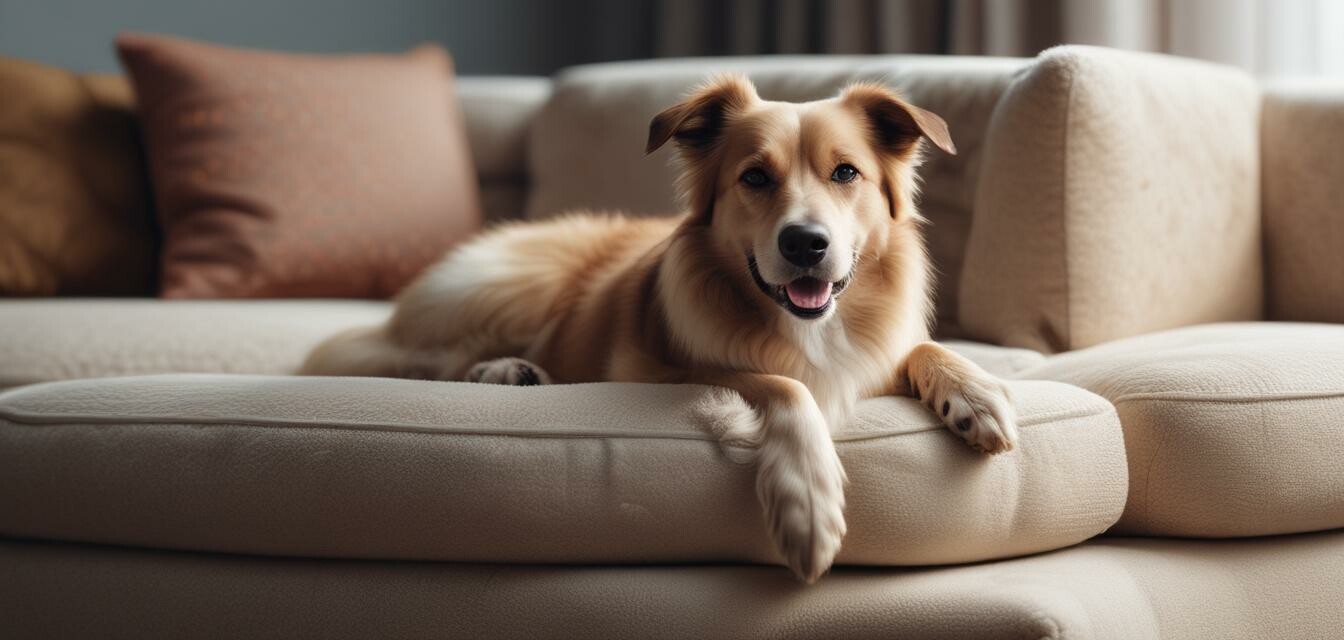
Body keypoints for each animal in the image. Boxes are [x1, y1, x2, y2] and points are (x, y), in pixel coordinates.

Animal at [302, 74, 1016, 586]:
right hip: (512, 289)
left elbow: (923, 345)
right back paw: (503, 369)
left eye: (847, 173)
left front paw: (976, 396)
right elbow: (784, 385)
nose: (806, 244)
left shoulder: (871, 355)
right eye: (754, 177)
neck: (806, 325)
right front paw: (808, 505)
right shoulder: (655, 368)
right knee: (428, 359)